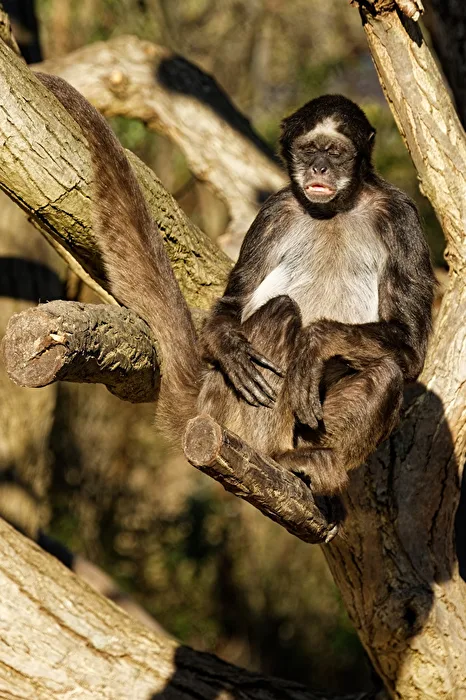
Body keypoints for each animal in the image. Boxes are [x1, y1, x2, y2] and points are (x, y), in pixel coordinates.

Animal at [35, 75, 435, 524]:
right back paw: (272, 455)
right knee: (281, 311)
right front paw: (229, 344)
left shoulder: (401, 215)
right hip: (223, 403)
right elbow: (231, 306)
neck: (333, 210)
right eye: (309, 150)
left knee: (385, 371)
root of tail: (204, 392)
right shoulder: (274, 211)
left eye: (336, 152)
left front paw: (316, 341)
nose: (319, 168)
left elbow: (411, 349)